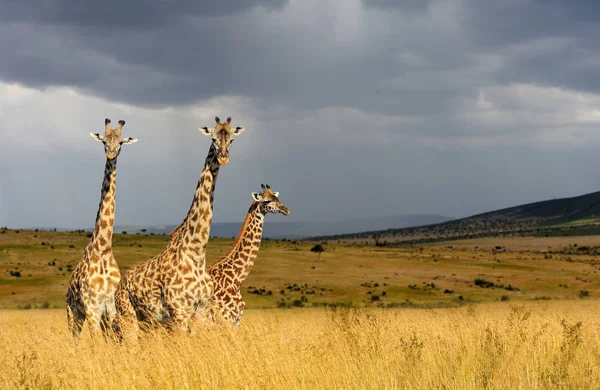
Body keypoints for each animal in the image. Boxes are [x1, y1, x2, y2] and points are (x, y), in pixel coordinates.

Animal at [66, 119, 138, 338]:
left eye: (121, 143)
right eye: (104, 141)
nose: (111, 154)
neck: (103, 249)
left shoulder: (111, 307)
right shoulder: (92, 308)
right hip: (73, 314)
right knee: (74, 339)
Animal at [115, 114, 246, 336]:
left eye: (232, 139)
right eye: (212, 138)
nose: (223, 157)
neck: (196, 253)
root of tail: (120, 285)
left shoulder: (201, 310)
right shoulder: (179, 311)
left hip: (147, 321)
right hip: (128, 315)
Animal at [202, 184, 290, 328]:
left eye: (277, 198)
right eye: (266, 201)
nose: (286, 210)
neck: (237, 278)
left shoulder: (236, 322)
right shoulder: (226, 319)